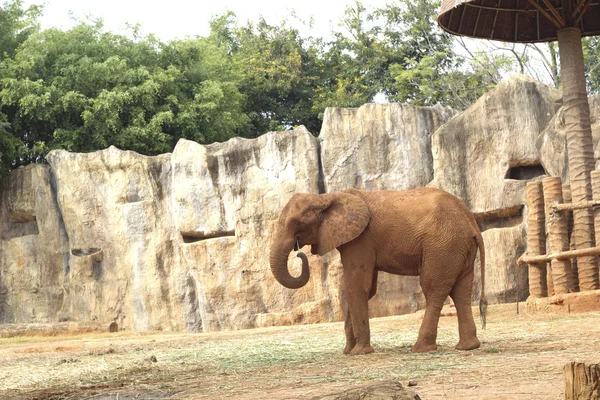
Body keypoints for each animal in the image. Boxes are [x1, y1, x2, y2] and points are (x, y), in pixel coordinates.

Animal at [270, 186, 486, 354]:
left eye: (297, 223)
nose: (299, 253)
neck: (327, 197)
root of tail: (471, 222)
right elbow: (365, 288)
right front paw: (348, 351)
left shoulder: (360, 240)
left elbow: (357, 286)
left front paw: (359, 352)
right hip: (458, 247)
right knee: (461, 291)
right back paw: (468, 347)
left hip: (442, 246)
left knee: (433, 289)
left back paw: (420, 349)